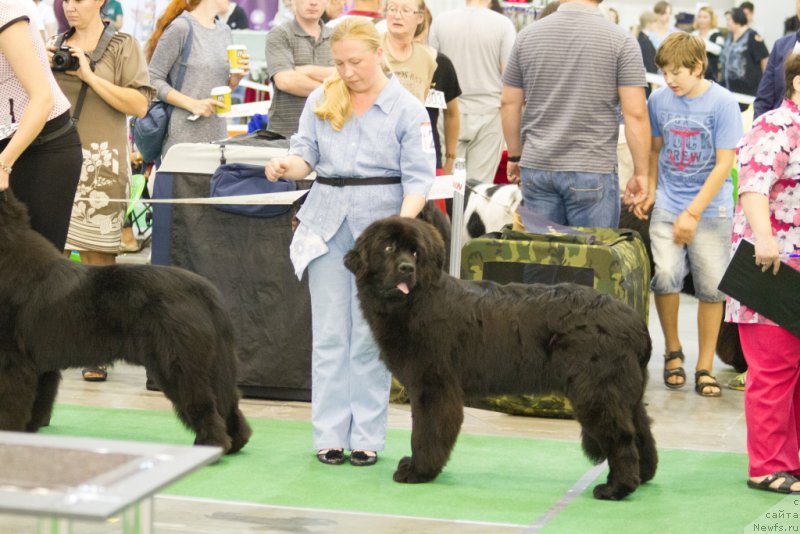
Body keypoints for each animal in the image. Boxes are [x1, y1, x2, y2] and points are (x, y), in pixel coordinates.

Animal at [0, 193, 250, 456]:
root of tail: (204, 291)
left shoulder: (12, 361)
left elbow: (9, 403)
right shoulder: (40, 366)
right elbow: (39, 401)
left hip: (178, 364)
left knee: (204, 405)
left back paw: (210, 447)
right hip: (211, 365)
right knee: (229, 402)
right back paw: (234, 443)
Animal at [346, 216, 660, 500]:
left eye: (415, 253)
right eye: (388, 248)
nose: (406, 268)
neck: (416, 301)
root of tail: (634, 321)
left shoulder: (433, 386)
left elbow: (426, 432)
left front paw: (418, 471)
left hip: (597, 392)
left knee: (621, 438)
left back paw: (616, 488)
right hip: (624, 392)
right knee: (641, 430)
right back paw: (643, 475)